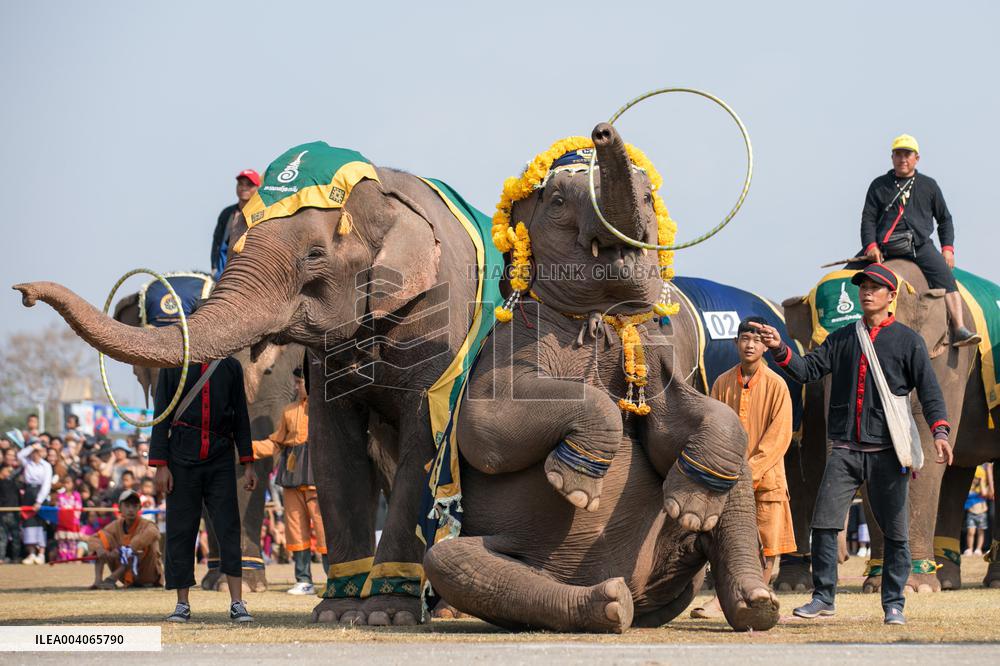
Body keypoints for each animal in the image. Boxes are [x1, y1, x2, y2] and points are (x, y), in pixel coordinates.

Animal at [421, 123, 779, 633]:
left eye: (649, 197)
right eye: (556, 201)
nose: (603, 130)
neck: (602, 317)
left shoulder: (656, 352)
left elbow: (689, 425)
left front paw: (690, 510)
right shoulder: (507, 345)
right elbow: (485, 430)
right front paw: (574, 486)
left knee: (736, 480)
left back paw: (755, 601)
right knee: (453, 564)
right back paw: (607, 604)